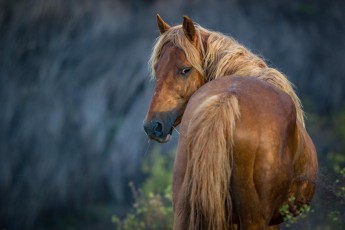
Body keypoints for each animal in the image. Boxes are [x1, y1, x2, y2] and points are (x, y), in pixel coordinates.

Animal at [142, 14, 318, 230]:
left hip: (183, 211)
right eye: (157, 68)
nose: (153, 126)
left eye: (185, 69)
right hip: (255, 218)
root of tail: (226, 99)